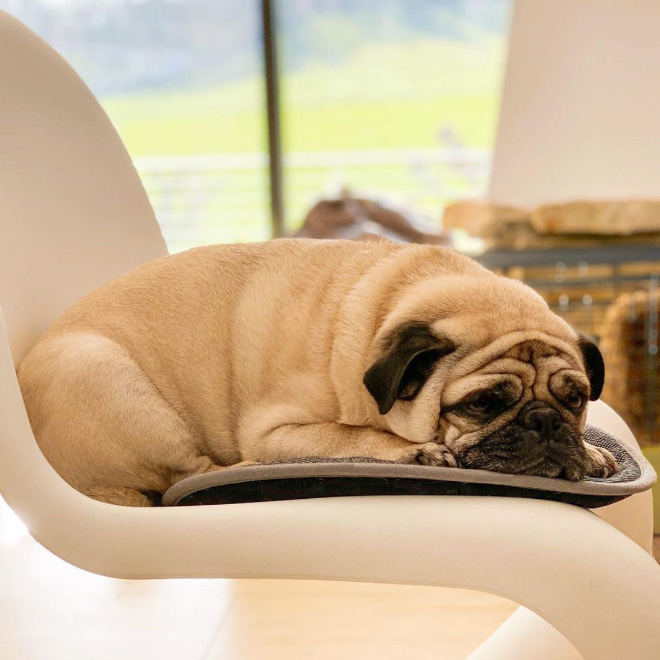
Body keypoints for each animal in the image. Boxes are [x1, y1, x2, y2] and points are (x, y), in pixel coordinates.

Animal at [15, 240, 616, 508]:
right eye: (482, 404)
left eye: (576, 400)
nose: (545, 423)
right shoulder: (278, 430)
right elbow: (353, 435)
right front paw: (415, 451)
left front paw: (590, 451)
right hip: (109, 377)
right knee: (190, 474)